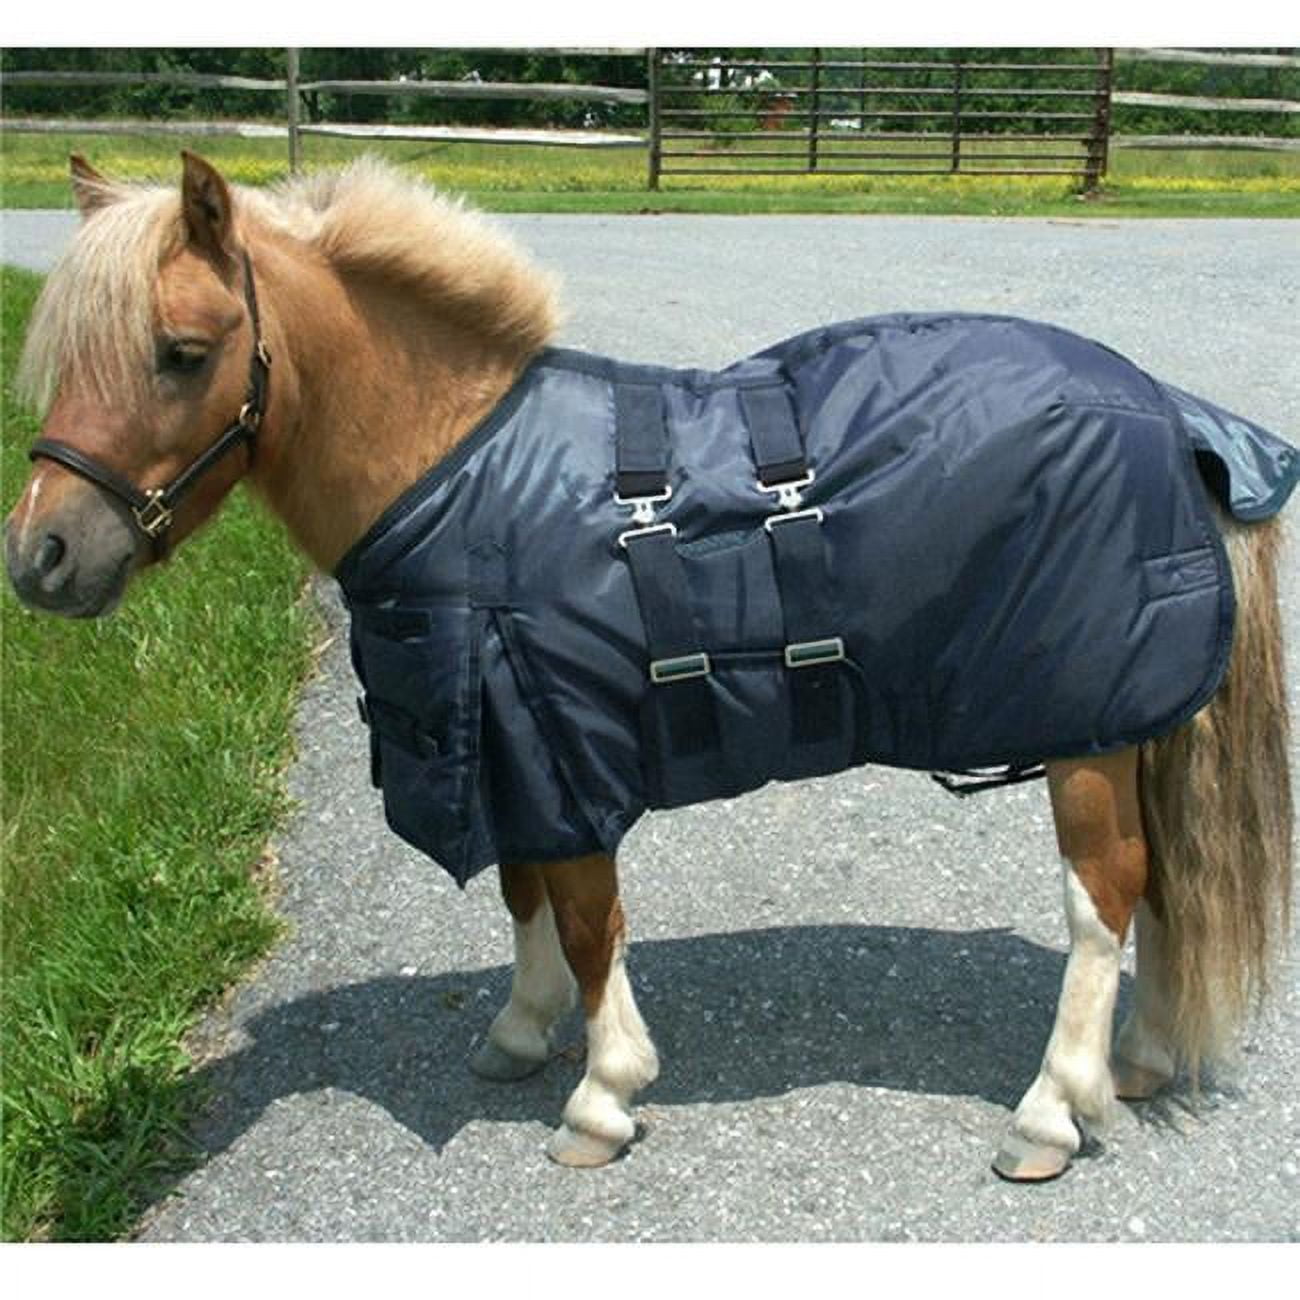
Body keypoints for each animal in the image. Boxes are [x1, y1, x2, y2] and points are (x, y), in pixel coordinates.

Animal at [5, 152, 1293, 1184]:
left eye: (182, 353)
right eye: (65, 358)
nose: (41, 555)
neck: (463, 474)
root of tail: (1168, 408)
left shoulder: (563, 741)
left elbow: (586, 923)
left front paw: (602, 1091)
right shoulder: (513, 746)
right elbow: (526, 896)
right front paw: (522, 1032)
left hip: (1087, 732)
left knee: (1103, 898)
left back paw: (1049, 1112)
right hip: (1127, 731)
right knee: (1159, 888)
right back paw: (1132, 1064)